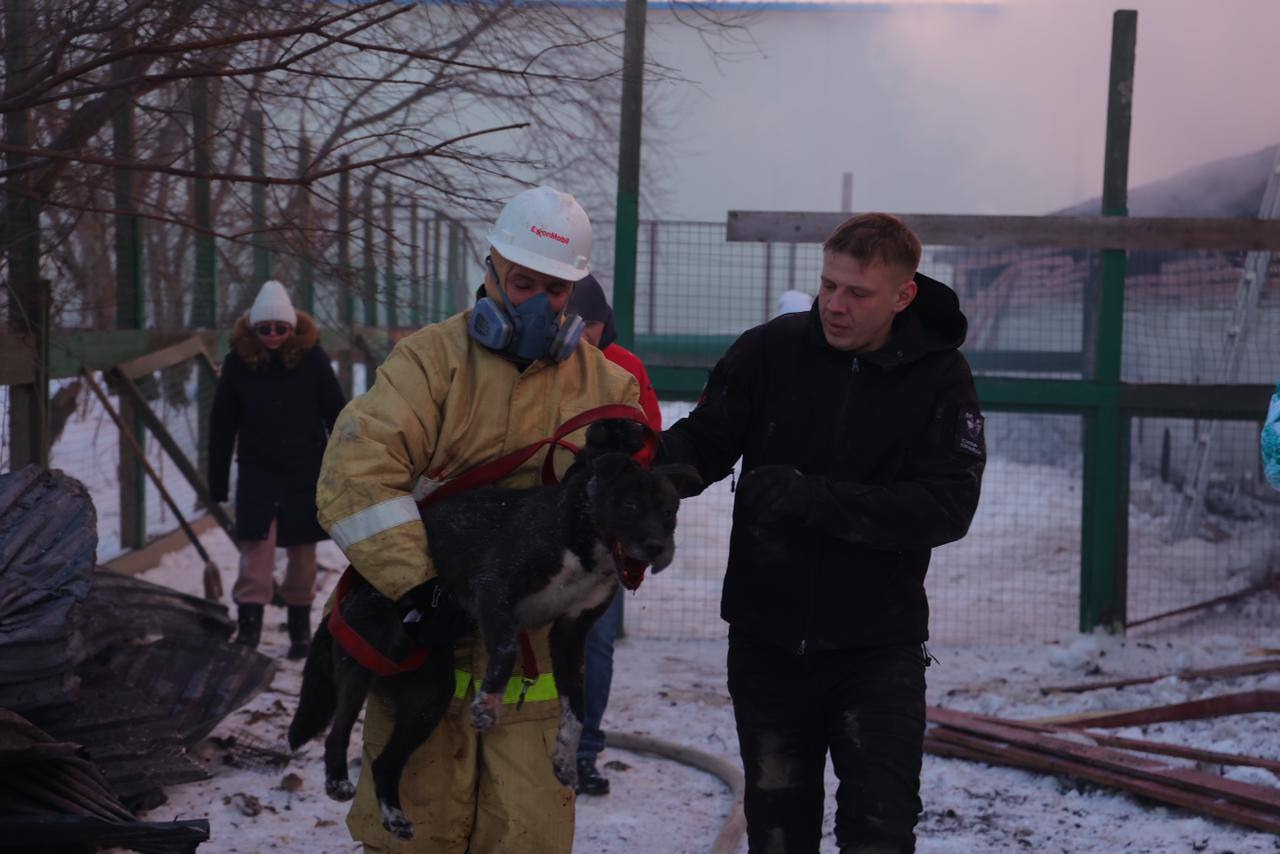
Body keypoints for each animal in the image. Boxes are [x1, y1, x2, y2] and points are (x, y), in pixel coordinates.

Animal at [289, 422, 696, 839]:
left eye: (669, 511)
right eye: (629, 506)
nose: (657, 547)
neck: (581, 539)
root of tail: (348, 583)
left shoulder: (570, 635)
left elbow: (578, 706)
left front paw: (564, 757)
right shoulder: (494, 592)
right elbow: (507, 651)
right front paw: (487, 705)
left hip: (428, 697)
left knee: (384, 764)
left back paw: (395, 816)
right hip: (364, 658)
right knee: (337, 731)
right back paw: (338, 780)